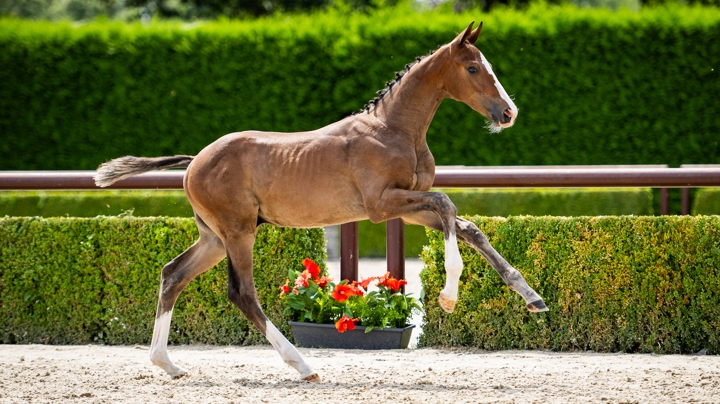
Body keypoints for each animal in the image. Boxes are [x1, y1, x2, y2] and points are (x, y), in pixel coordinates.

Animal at [94, 22, 544, 382]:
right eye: (473, 69)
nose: (508, 113)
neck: (395, 130)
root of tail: (193, 162)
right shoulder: (382, 205)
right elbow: (447, 203)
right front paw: (449, 296)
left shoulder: (409, 211)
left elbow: (467, 227)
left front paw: (532, 297)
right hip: (237, 232)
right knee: (243, 293)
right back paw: (304, 365)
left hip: (214, 237)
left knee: (173, 274)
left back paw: (167, 363)